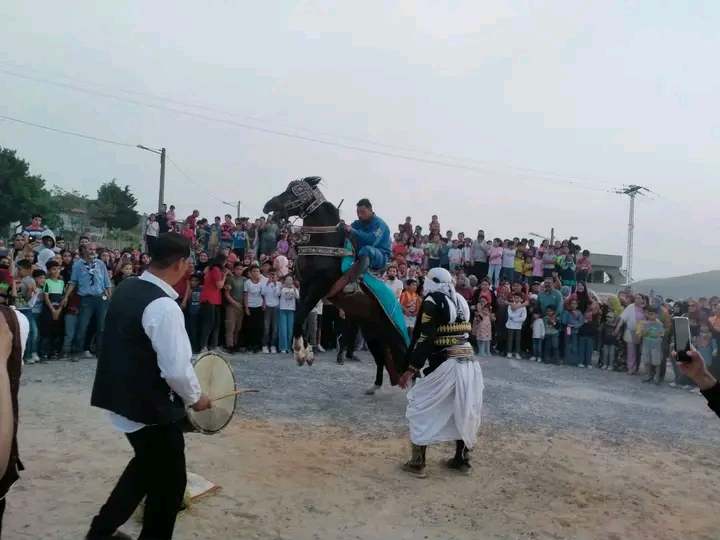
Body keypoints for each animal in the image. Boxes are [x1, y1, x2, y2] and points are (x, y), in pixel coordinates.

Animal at [262, 177, 410, 388]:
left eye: (295, 191)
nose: (269, 205)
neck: (324, 242)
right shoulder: (305, 286)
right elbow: (302, 316)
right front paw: (307, 353)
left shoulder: (319, 287)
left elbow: (300, 315)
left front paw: (300, 352)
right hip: (371, 331)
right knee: (382, 357)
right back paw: (376, 385)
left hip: (390, 331)